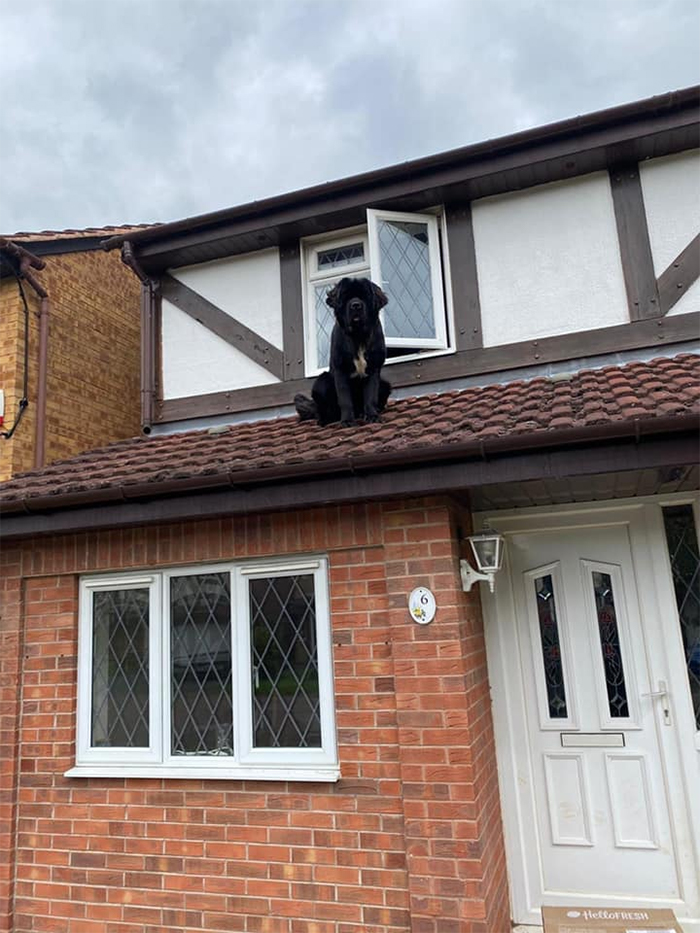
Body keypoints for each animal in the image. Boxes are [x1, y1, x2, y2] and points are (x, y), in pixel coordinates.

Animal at [296, 274, 394, 426]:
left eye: (364, 296)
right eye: (346, 297)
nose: (356, 305)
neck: (358, 336)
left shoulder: (373, 368)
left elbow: (371, 395)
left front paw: (372, 416)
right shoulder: (340, 369)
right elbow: (344, 398)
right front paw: (347, 420)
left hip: (385, 384)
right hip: (321, 382)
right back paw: (325, 420)